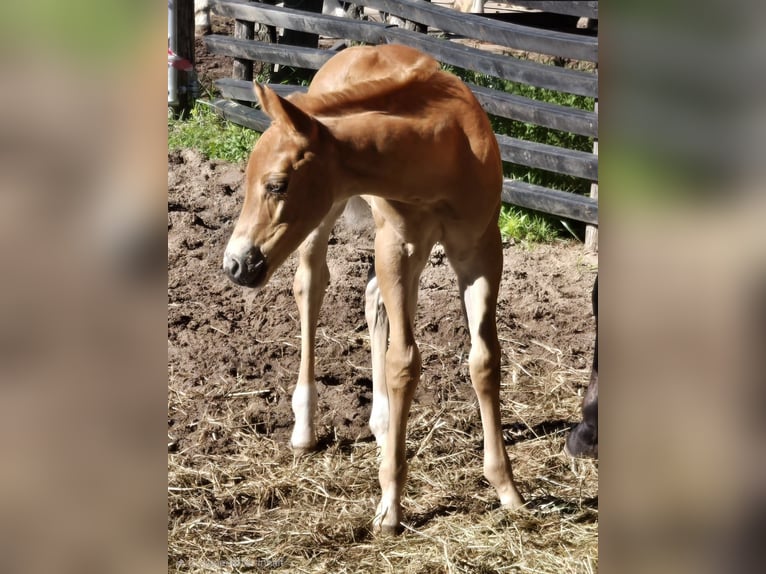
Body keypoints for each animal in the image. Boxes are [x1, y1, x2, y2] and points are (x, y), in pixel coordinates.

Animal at [222, 44, 525, 533]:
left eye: (276, 184)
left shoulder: (480, 249)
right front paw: (390, 507)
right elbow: (404, 361)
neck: (445, 151)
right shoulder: (396, 246)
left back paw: (383, 423)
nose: (235, 265)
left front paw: (506, 488)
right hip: (331, 220)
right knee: (311, 285)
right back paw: (305, 429)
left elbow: (484, 360)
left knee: (372, 300)